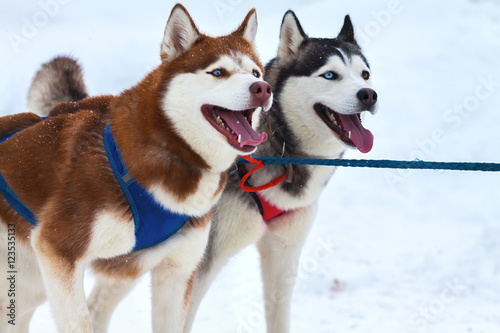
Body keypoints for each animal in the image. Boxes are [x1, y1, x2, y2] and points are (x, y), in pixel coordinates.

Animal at [186, 9, 376, 330]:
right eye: (330, 75)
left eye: (364, 74)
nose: (369, 95)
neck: (280, 149)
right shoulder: (198, 264)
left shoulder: (284, 254)